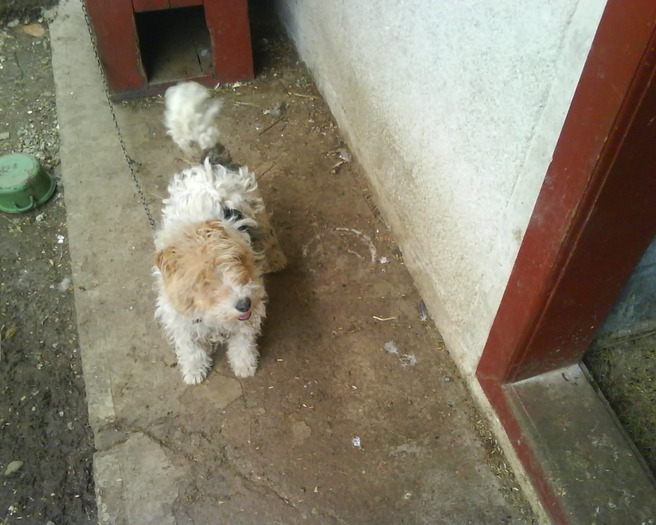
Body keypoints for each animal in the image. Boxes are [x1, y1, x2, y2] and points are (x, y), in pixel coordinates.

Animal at [156, 82, 288, 384]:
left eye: (235, 263)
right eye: (203, 281)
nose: (243, 303)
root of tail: (209, 161)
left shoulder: (252, 298)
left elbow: (242, 341)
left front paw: (244, 365)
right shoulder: (180, 318)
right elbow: (190, 347)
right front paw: (194, 370)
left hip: (258, 213)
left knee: (270, 236)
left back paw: (277, 260)